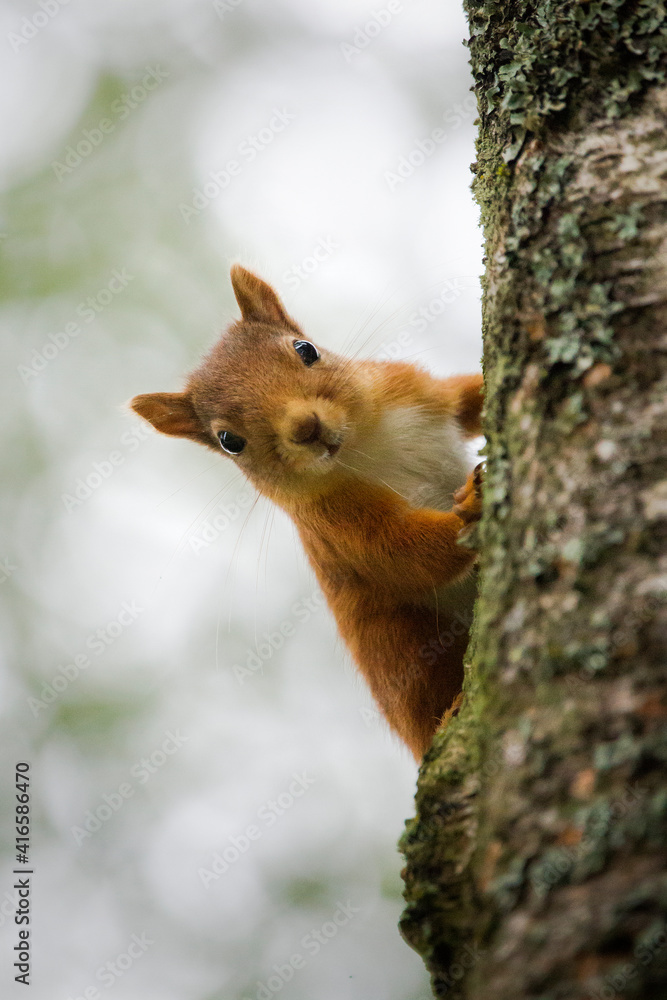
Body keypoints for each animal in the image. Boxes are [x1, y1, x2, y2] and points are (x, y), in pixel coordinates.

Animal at [132, 266, 486, 756]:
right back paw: (447, 714)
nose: (306, 428)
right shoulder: (332, 522)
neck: (363, 445)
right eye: (229, 441)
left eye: (306, 349)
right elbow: (401, 551)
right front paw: (471, 508)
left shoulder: (413, 389)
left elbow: (466, 397)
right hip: (399, 642)